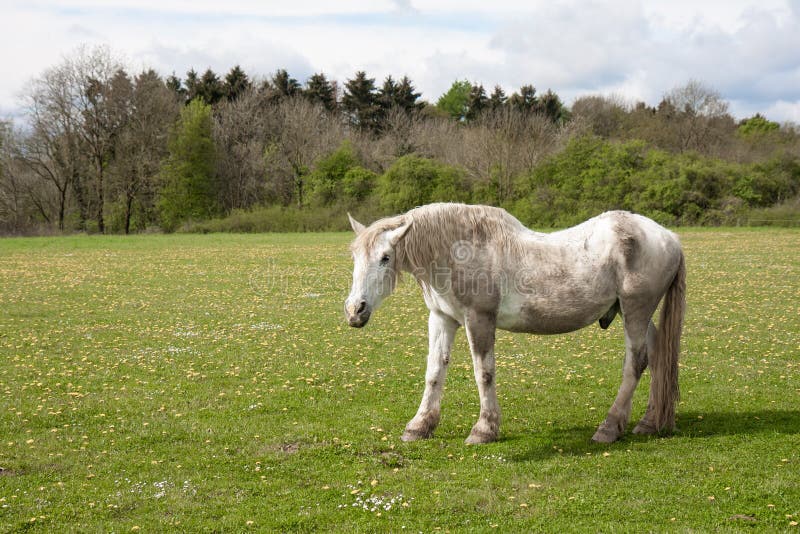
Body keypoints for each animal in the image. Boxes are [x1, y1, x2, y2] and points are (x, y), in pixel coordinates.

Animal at [346, 203, 688, 446]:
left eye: (385, 257)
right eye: (355, 257)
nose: (354, 309)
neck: (457, 251)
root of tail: (669, 238)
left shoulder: (479, 318)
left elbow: (483, 373)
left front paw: (484, 429)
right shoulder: (442, 318)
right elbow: (434, 372)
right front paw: (419, 426)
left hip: (635, 312)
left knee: (636, 362)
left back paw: (608, 428)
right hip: (636, 314)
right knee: (657, 355)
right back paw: (647, 423)